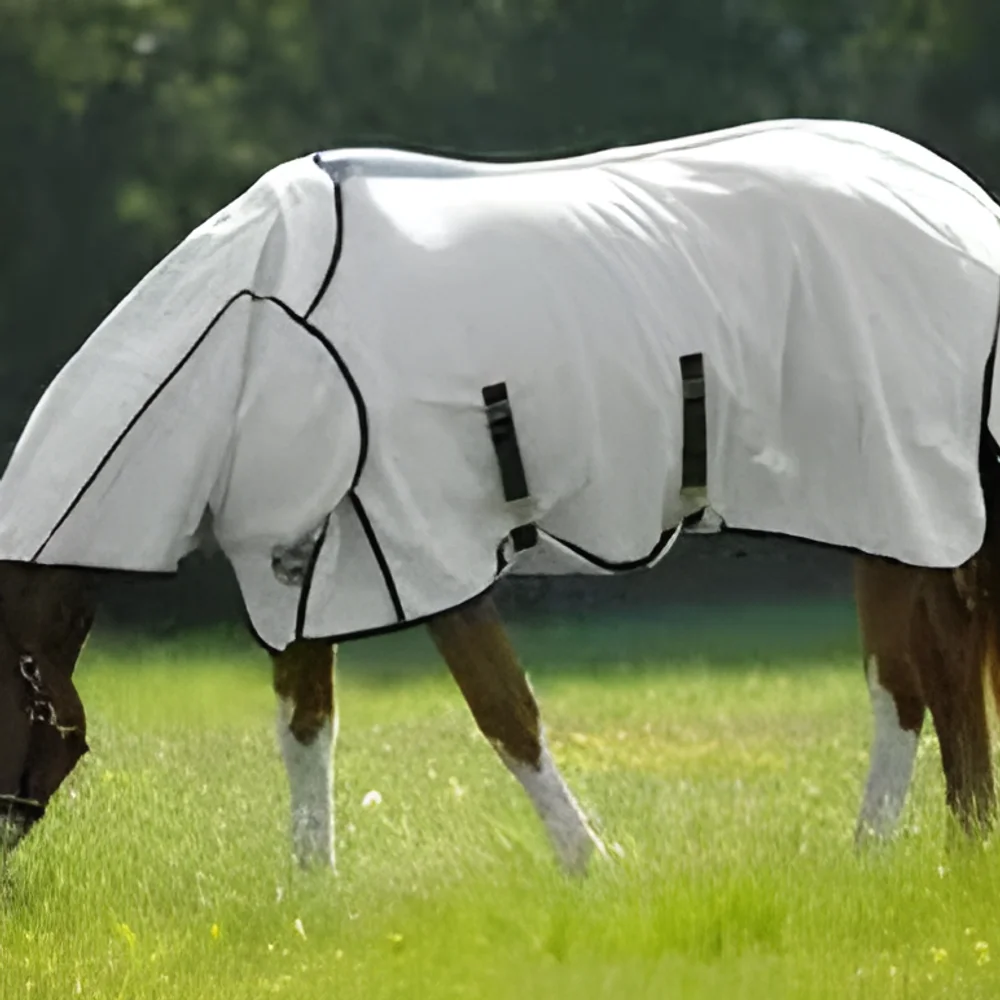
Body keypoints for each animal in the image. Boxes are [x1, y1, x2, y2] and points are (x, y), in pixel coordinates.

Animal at [2, 117, 1000, 872]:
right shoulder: (302, 568)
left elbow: (505, 714)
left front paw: (594, 869)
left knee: (905, 687)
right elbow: (304, 728)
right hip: (911, 525)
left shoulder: (424, 548)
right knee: (948, 671)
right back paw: (963, 846)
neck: (258, 323)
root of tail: (962, 205)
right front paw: (312, 893)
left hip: (895, 502)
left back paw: (871, 854)